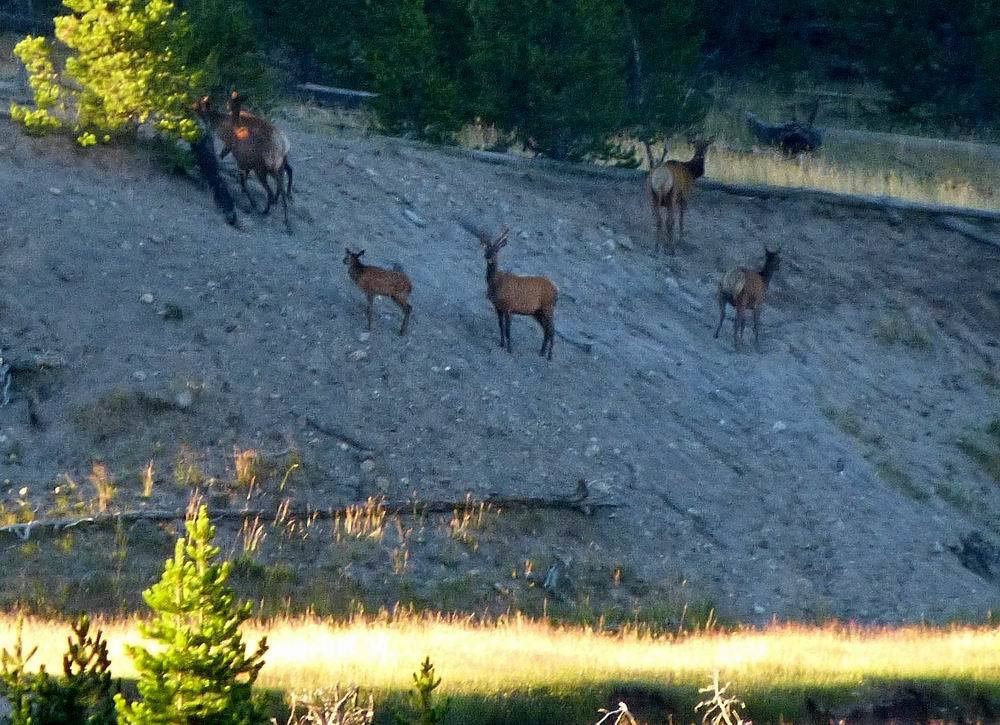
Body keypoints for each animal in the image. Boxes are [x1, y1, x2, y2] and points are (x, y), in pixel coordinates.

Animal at [192, 93, 292, 228]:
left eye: (198, 103)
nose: (189, 106)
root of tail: (284, 143)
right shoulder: (244, 161)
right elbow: (242, 180)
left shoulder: (237, 154)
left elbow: (241, 180)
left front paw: (251, 202)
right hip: (277, 167)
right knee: (282, 186)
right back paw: (286, 217)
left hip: (265, 169)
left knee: (273, 190)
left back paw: (266, 209)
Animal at [474, 226, 556, 360]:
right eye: (487, 248)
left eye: (496, 250)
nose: (488, 256)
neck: (496, 282)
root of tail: (556, 290)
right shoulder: (498, 307)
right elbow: (500, 326)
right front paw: (501, 344)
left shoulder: (509, 306)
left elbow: (508, 330)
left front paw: (510, 349)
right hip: (537, 312)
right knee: (546, 330)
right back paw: (542, 352)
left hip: (548, 307)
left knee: (552, 329)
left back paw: (549, 356)